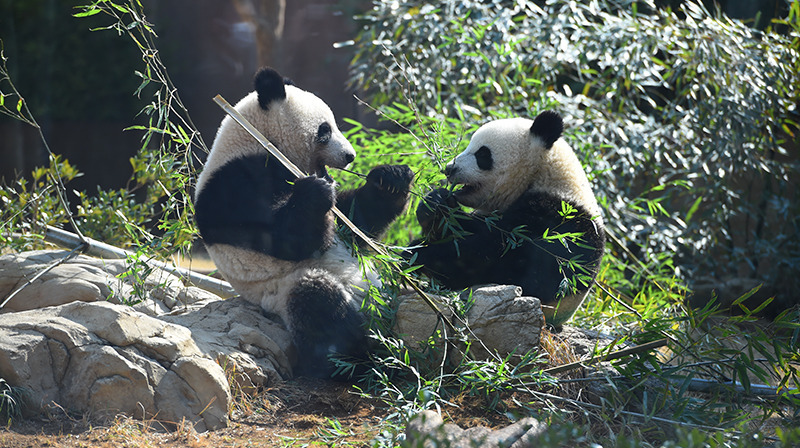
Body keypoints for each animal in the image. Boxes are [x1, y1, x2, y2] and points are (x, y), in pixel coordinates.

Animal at [194, 65, 412, 374]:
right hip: (286, 289)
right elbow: (284, 239)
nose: (350, 156)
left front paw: (391, 179)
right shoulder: (233, 184)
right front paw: (313, 192)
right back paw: (359, 357)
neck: (256, 138)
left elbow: (352, 222)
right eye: (325, 130)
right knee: (317, 304)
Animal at [406, 110, 608, 328]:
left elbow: (494, 257)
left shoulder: (560, 222)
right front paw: (435, 204)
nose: (449, 169)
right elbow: (469, 228)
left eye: (482, 154)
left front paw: (419, 254)